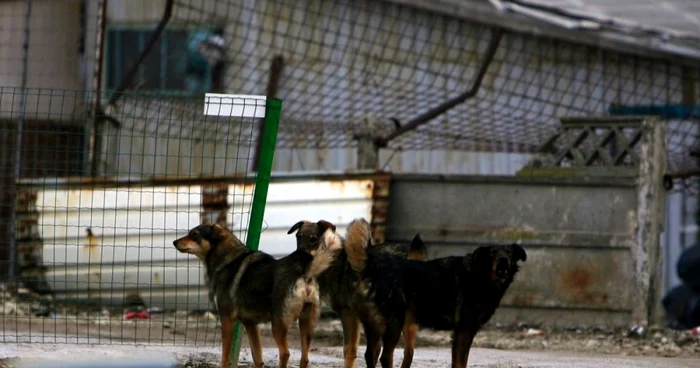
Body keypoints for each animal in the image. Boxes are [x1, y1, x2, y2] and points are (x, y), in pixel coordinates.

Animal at [175, 224, 340, 368]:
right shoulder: (250, 323)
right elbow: (258, 358)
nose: (174, 242)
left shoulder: (227, 318)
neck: (227, 260)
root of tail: (304, 271)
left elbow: (225, 356)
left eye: (194, 234)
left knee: (285, 353)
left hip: (278, 325)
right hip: (306, 323)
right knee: (304, 358)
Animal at [286, 220, 426, 366]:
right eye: (298, 237)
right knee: (406, 351)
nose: (296, 257)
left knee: (389, 354)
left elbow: (349, 350)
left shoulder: (348, 313)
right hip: (404, 320)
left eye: (313, 239)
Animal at [344, 218, 524, 368]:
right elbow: (461, 363)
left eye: (509, 252)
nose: (503, 260)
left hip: (378, 325)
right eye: (492, 253)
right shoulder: (464, 330)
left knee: (372, 354)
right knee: (385, 356)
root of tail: (372, 268)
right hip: (394, 322)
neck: (480, 275)